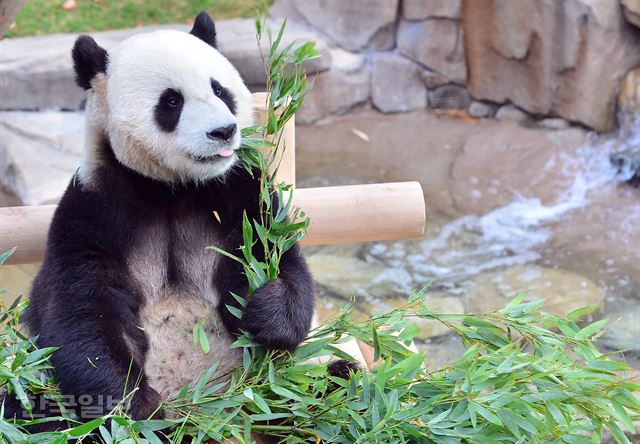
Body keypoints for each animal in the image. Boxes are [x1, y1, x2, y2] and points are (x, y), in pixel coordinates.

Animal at [1, 10, 318, 426]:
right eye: (171, 101)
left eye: (220, 91)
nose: (224, 131)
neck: (173, 187)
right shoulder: (95, 208)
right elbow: (83, 312)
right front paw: (137, 409)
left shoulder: (239, 194)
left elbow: (275, 256)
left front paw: (270, 312)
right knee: (29, 408)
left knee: (326, 389)